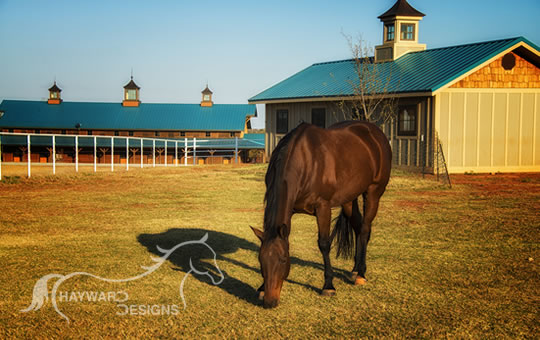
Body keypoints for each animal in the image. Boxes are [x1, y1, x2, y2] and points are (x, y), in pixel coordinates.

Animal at [251, 121, 390, 310]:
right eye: (261, 260)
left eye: (283, 259)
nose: (270, 302)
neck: (306, 161)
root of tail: (375, 133)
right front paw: (261, 288)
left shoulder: (323, 207)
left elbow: (324, 244)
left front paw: (328, 286)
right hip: (348, 199)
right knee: (358, 227)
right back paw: (355, 270)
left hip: (373, 192)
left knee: (365, 229)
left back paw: (361, 274)